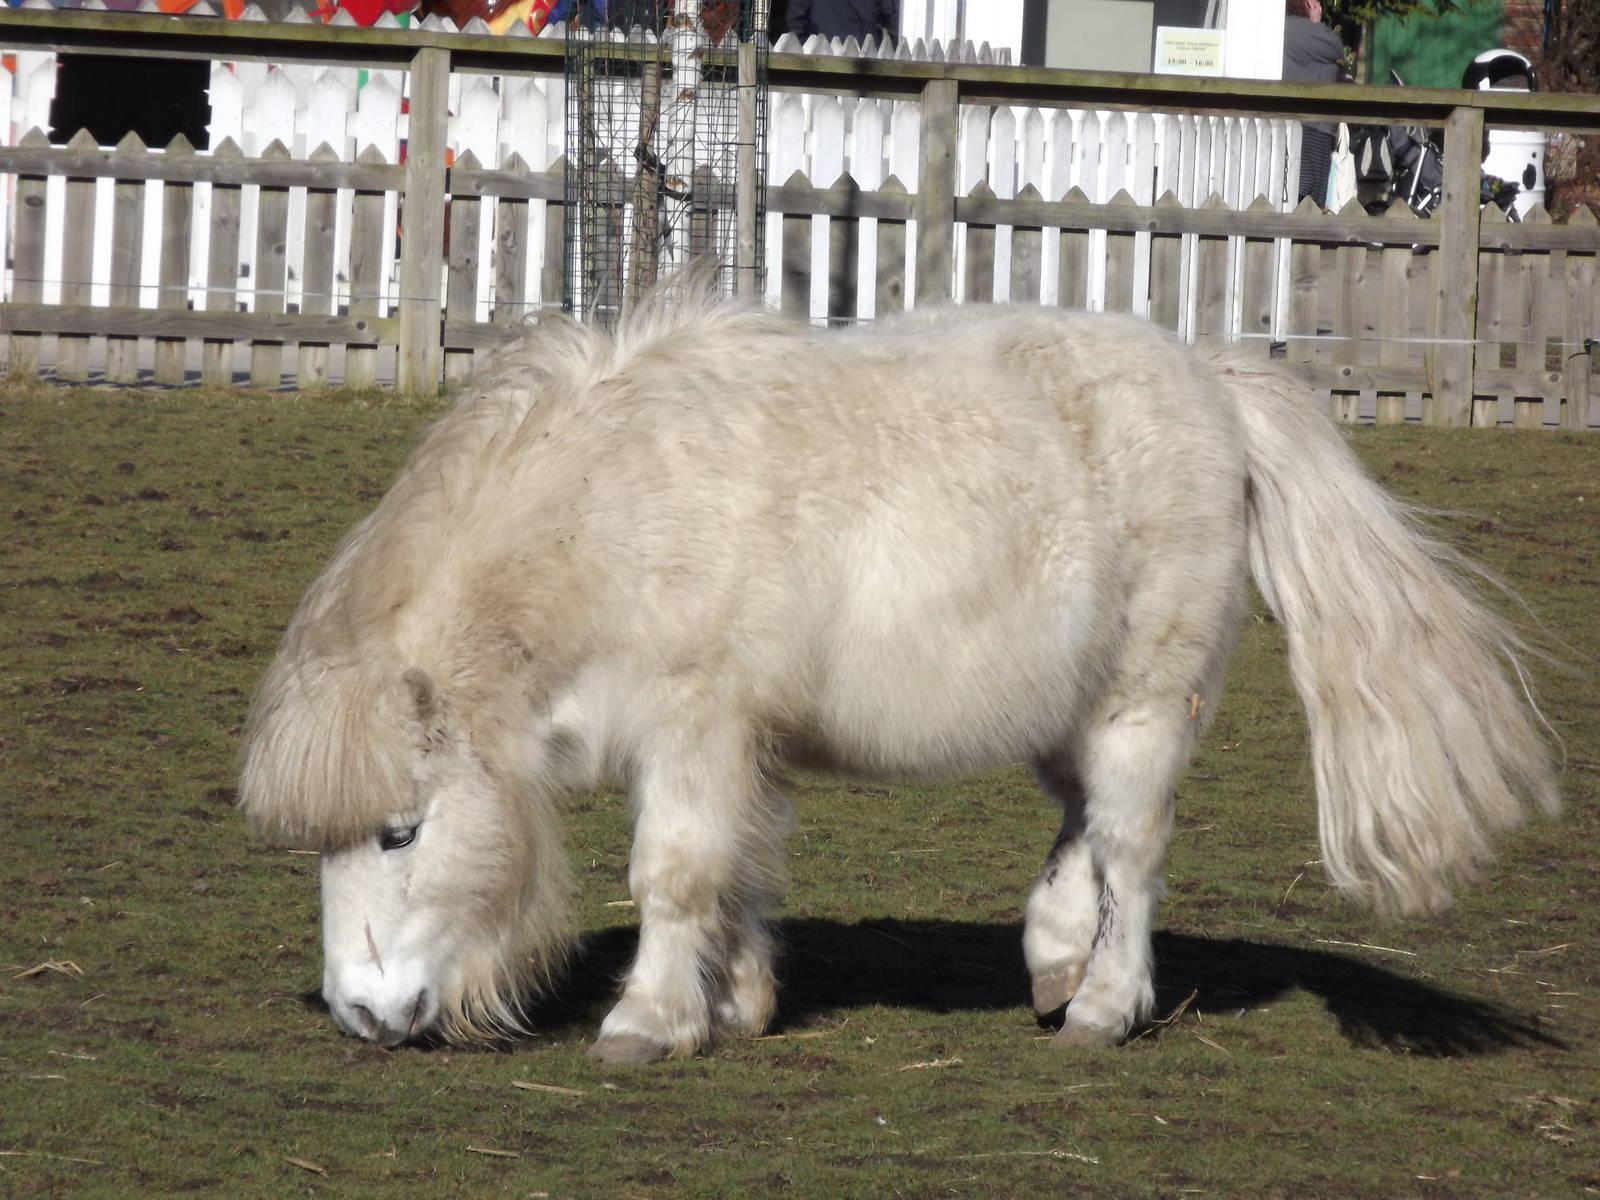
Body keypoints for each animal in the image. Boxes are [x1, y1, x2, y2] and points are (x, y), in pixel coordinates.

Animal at [238, 280, 1558, 1063]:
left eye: (401, 832)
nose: (361, 1014)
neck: (619, 508)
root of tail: (1209, 384)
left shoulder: (697, 727)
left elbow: (675, 873)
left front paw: (648, 1022)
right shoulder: (742, 743)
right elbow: (740, 871)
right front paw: (739, 1003)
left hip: (1142, 702)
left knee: (1131, 847)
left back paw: (1099, 1006)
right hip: (1064, 710)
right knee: (1083, 830)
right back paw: (1052, 956)